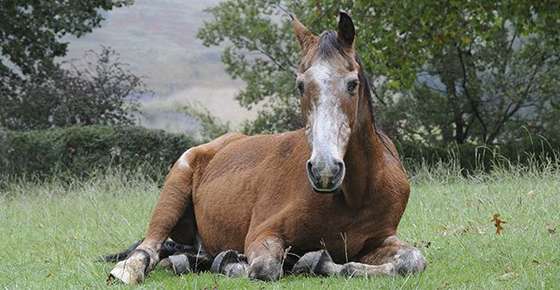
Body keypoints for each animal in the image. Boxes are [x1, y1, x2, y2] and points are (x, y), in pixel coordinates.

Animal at [108, 11, 424, 284]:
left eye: (352, 83)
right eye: (300, 85)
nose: (324, 170)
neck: (355, 195)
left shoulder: (378, 240)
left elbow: (413, 260)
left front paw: (315, 261)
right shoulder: (263, 233)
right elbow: (265, 267)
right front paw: (245, 263)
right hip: (174, 190)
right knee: (149, 247)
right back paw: (130, 270)